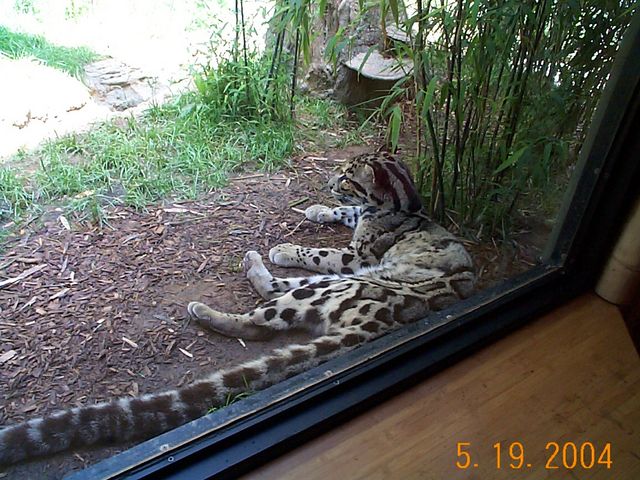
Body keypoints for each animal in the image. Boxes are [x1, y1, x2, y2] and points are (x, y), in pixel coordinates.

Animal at [0, 152, 475, 465]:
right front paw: (320, 208)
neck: (401, 204)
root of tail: (388, 318)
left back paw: (227, 290)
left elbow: (321, 250)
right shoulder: (357, 229)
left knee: (263, 313)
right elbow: (346, 214)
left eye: (346, 176)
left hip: (342, 282)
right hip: (332, 285)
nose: (328, 181)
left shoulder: (355, 257)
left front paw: (296, 240)